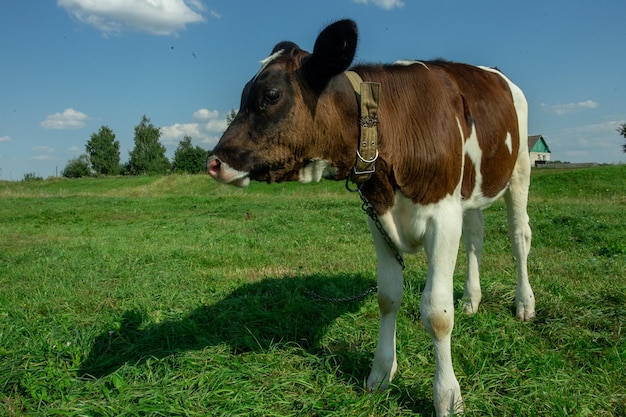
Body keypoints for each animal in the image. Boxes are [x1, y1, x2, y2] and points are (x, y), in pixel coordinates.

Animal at [207, 19, 532, 416]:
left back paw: (524, 304)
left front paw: (447, 395)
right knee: (475, 240)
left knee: (519, 237)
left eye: (270, 95)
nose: (214, 161)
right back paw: (471, 300)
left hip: (519, 169)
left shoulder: (443, 216)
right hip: (470, 193)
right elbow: (388, 296)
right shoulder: (378, 218)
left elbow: (437, 314)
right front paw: (380, 373)